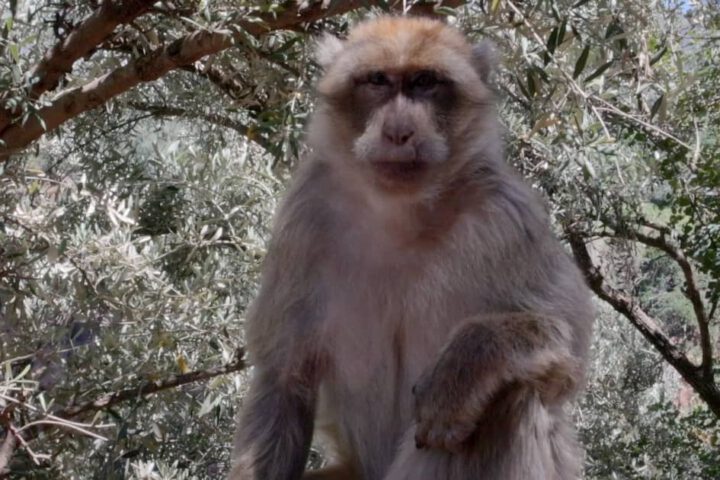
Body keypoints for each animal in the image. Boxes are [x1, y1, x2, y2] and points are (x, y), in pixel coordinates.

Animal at [229, 16, 593, 480]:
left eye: (425, 82)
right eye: (377, 80)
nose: (398, 131)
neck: (400, 215)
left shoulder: (508, 217)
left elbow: (567, 344)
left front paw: (463, 369)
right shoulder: (305, 216)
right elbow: (282, 377)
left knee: (512, 397)